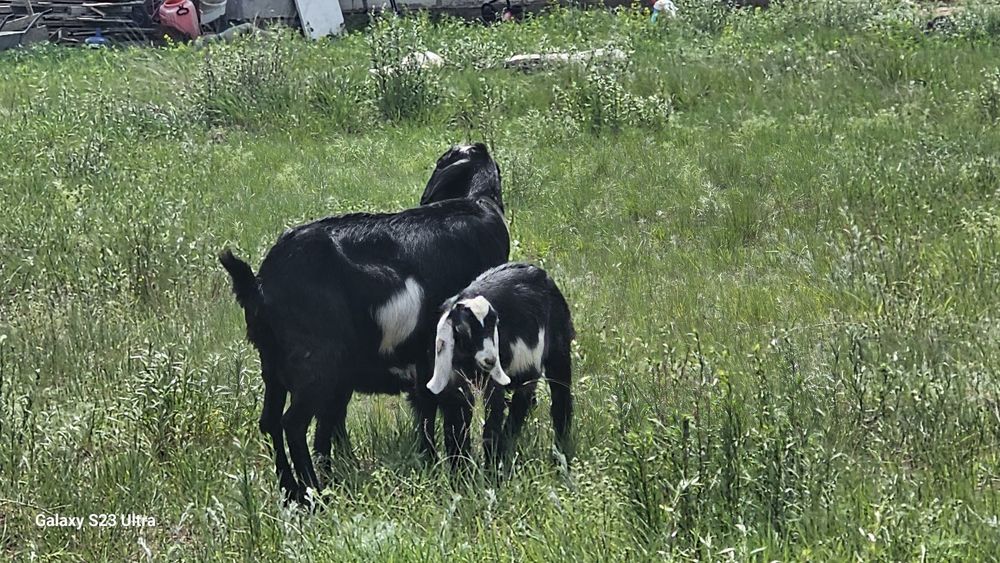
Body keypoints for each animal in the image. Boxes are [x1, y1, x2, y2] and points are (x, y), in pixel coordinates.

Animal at [220, 143, 508, 502]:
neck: (477, 204)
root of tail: (258, 285)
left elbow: (426, 411)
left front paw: (430, 463)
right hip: (318, 361)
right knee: (293, 423)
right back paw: (314, 493)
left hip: (273, 364)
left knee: (270, 420)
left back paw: (292, 490)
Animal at [425, 262, 575, 468]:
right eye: (463, 329)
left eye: (494, 324)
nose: (490, 360)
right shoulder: (455, 382)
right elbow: (456, 425)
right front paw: (460, 469)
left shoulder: (494, 381)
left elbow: (492, 421)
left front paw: (491, 468)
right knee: (521, 404)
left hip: (558, 349)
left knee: (560, 396)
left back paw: (559, 452)